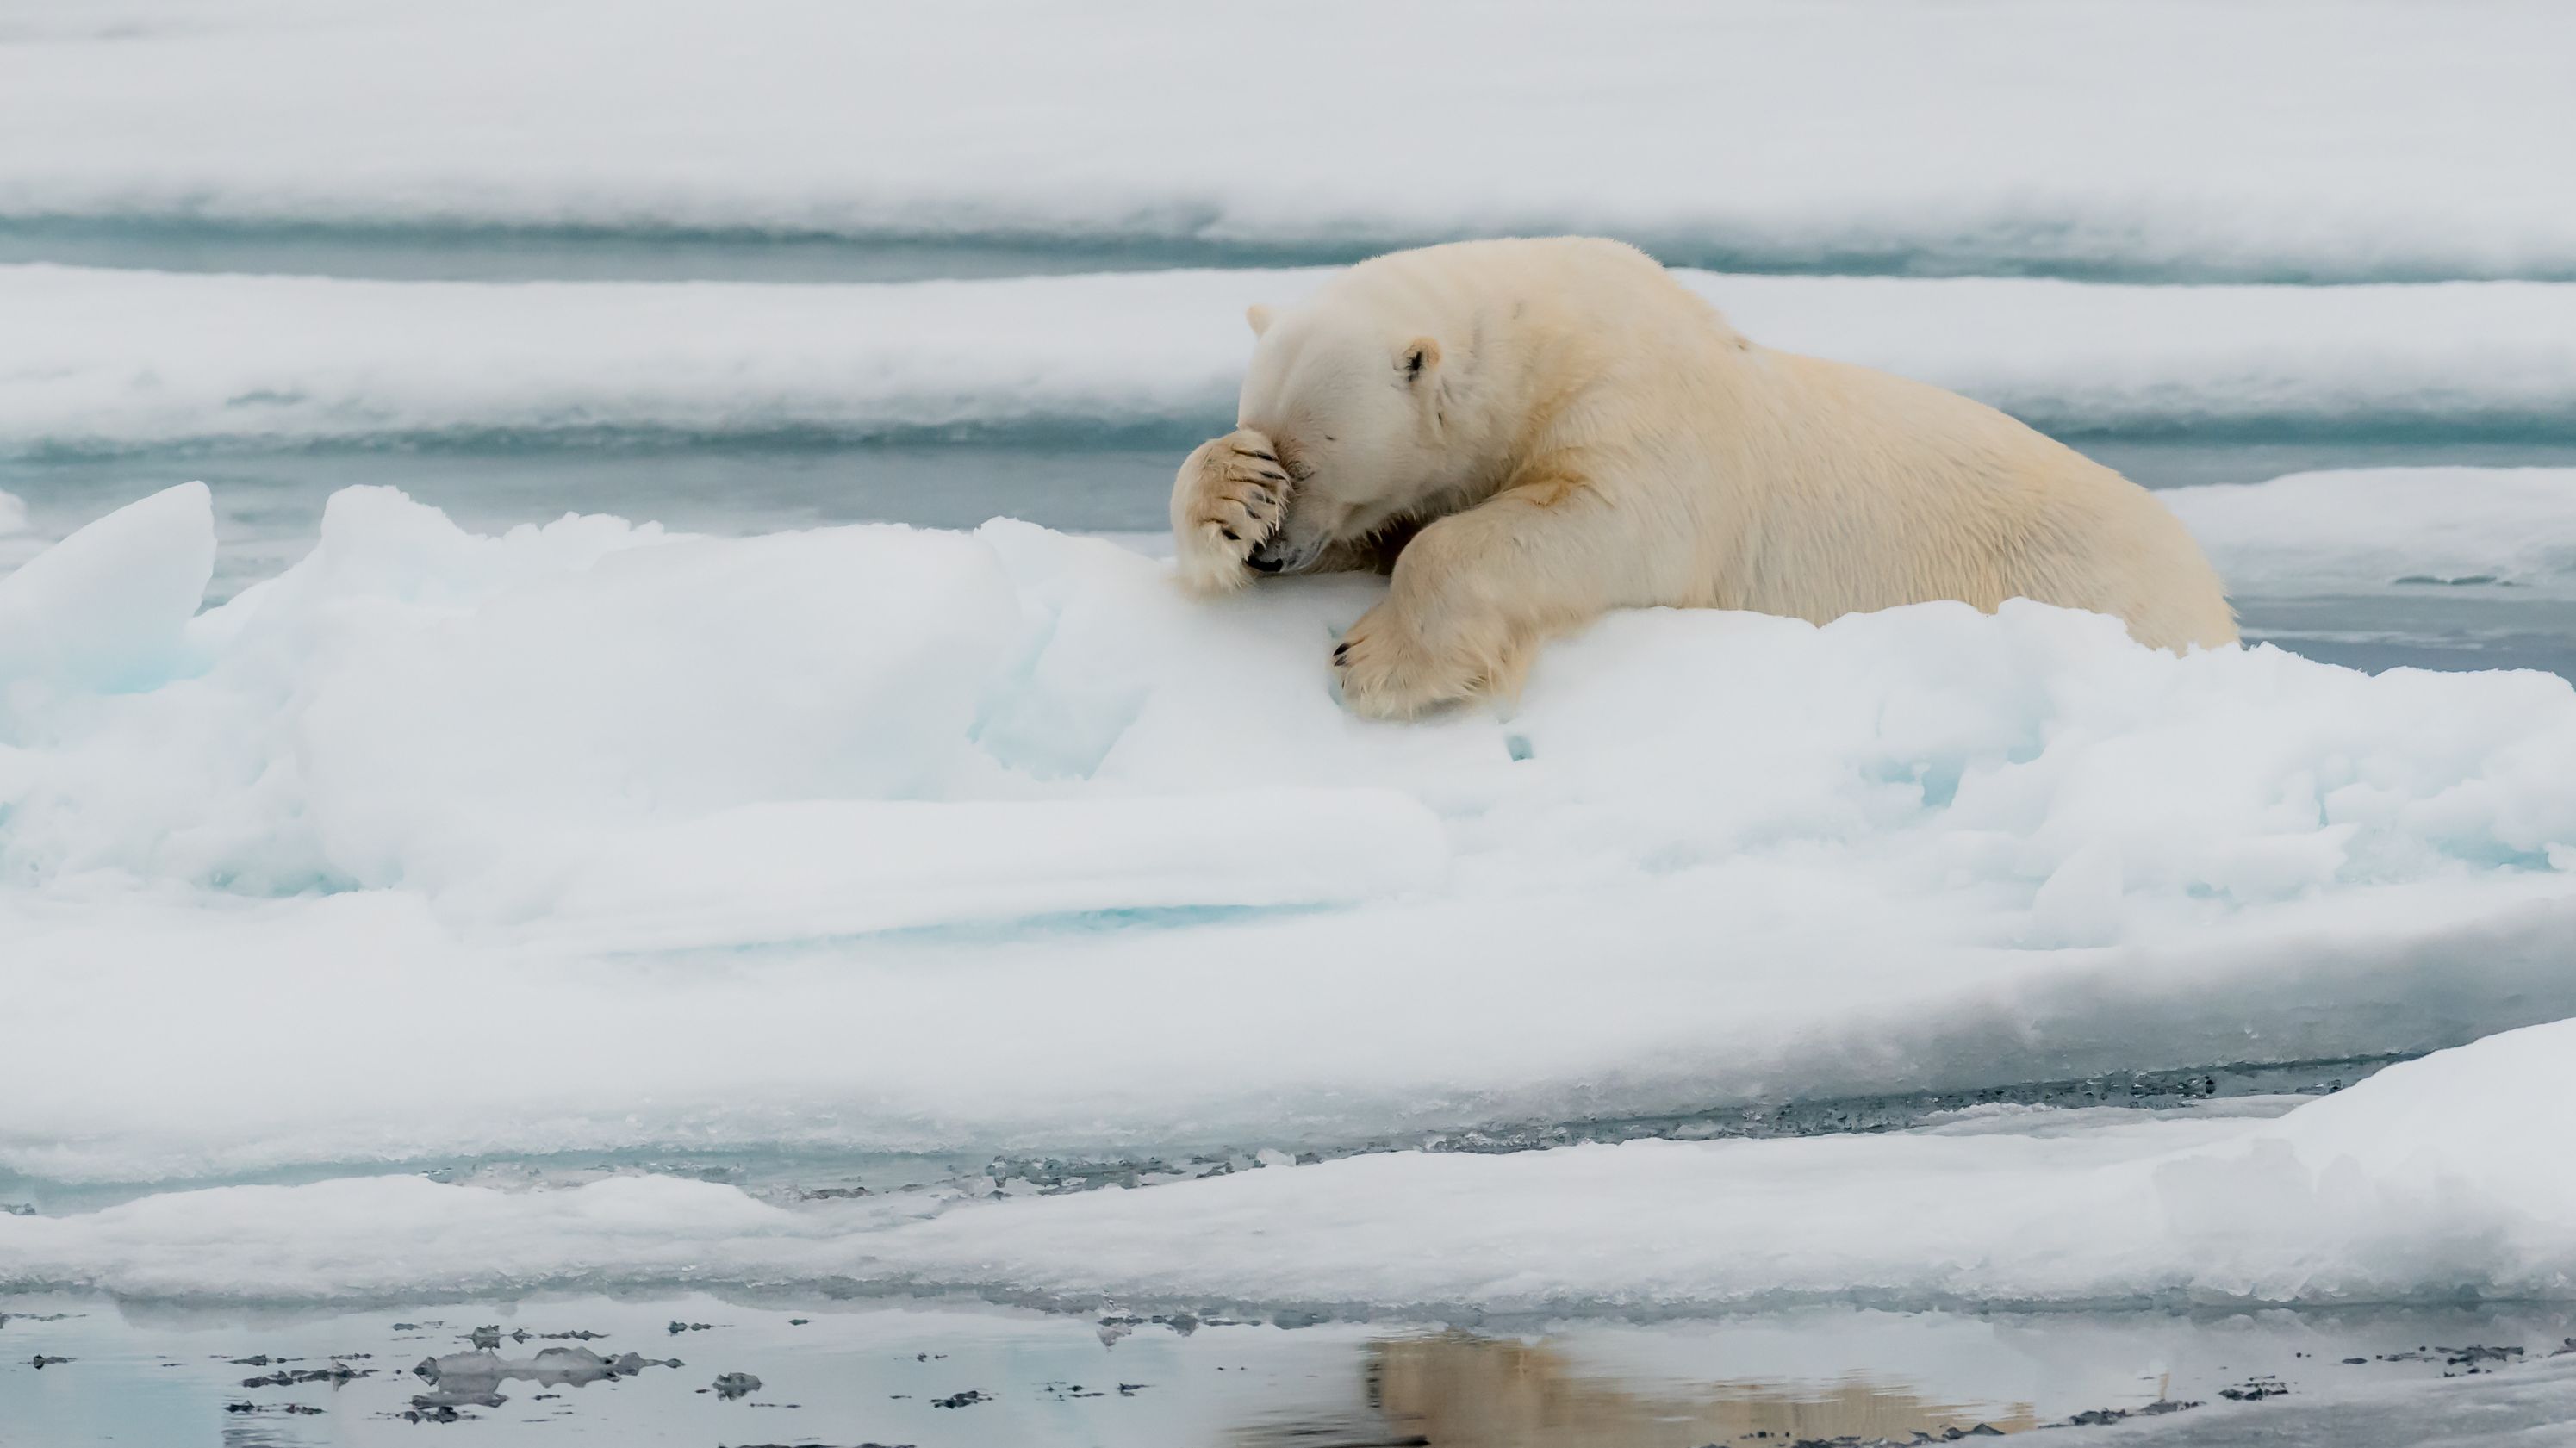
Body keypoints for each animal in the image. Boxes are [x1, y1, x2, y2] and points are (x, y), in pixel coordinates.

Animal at [1169, 237, 2236, 721]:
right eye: (1268, 442)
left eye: (1316, 459)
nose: (1269, 557)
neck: (1551, 341)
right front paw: (1225, 499)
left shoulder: (1639, 416)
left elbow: (1589, 522)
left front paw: (1377, 659)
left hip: (2096, 584)